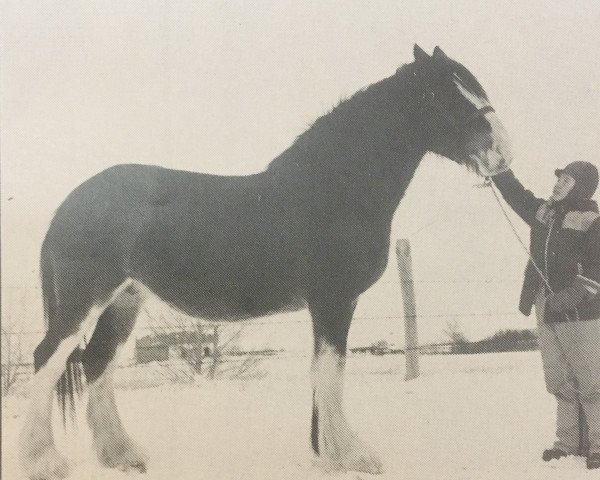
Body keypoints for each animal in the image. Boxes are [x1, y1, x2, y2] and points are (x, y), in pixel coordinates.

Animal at [21, 44, 512, 476]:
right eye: (442, 95)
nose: (503, 154)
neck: (334, 189)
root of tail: (70, 205)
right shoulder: (334, 300)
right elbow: (330, 373)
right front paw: (354, 456)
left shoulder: (329, 304)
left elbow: (322, 374)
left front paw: (326, 452)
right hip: (85, 300)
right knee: (47, 359)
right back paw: (44, 462)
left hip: (124, 300)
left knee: (97, 363)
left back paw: (123, 455)